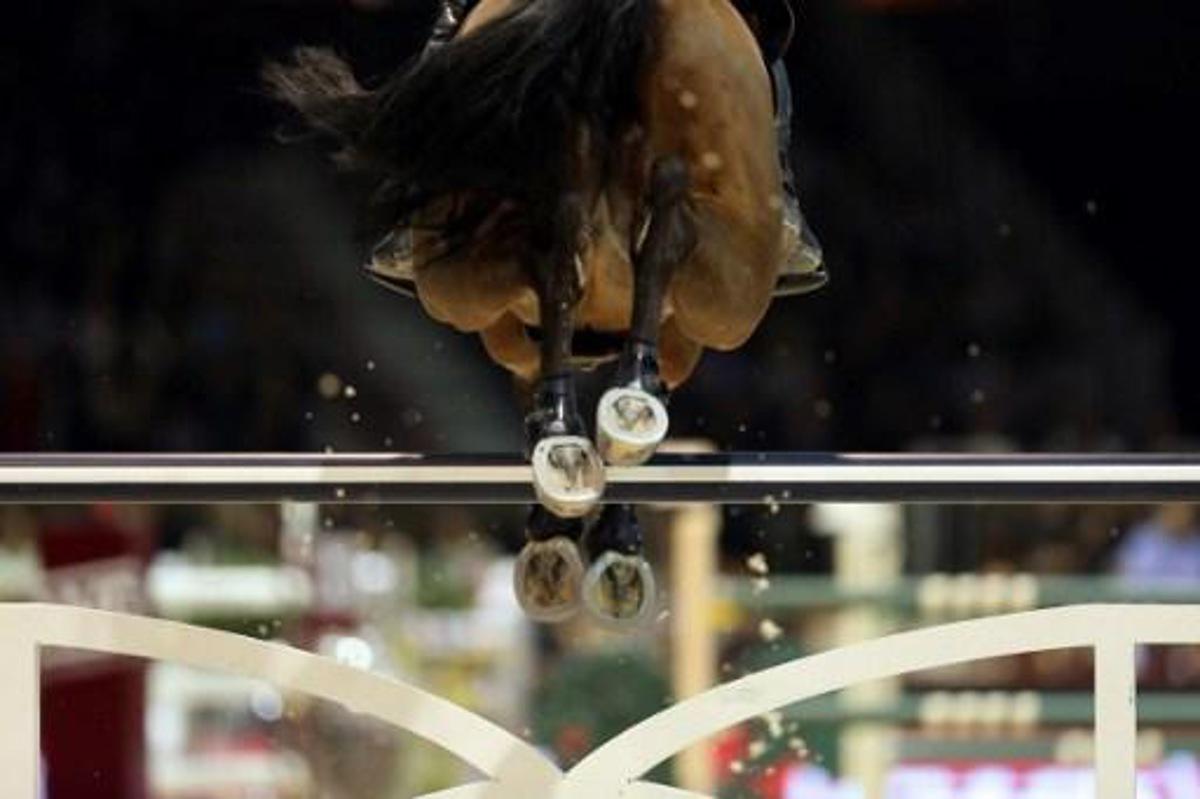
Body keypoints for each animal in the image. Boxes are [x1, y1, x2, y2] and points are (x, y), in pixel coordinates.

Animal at [266, 0, 819, 626]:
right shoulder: (676, 333)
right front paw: (584, 522)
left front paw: (574, 500)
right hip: (728, 299)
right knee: (647, 219)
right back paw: (625, 404)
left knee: (570, 229)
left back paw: (592, 424)